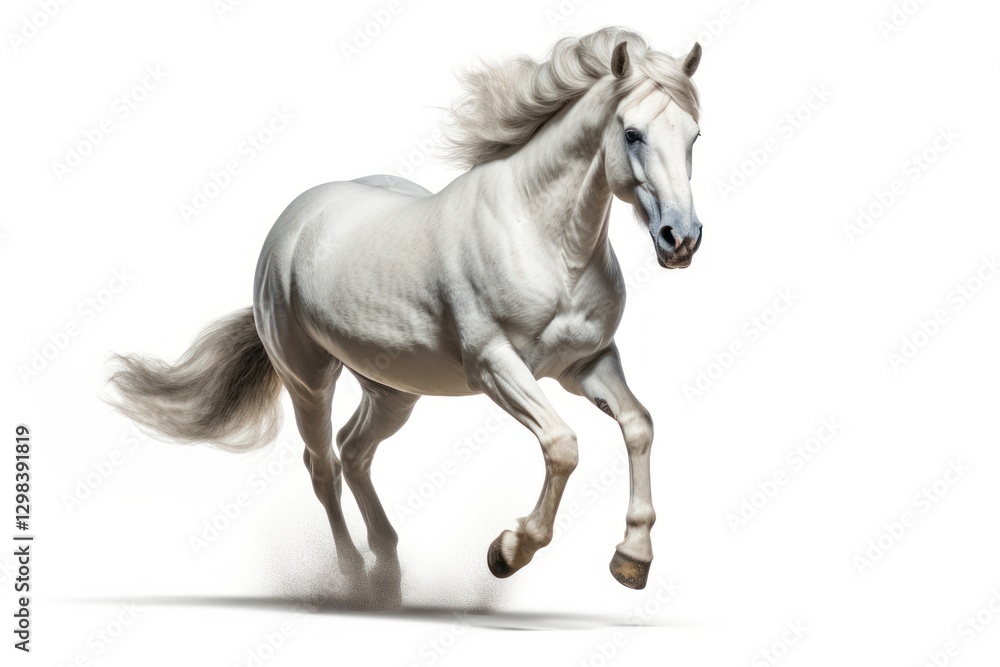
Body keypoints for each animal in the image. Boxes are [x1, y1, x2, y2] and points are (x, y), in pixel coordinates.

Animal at [107, 27, 704, 604]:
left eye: (694, 136)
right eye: (633, 133)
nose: (681, 239)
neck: (548, 243)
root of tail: (292, 223)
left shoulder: (587, 363)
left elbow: (638, 426)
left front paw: (632, 559)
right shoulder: (495, 366)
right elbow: (562, 446)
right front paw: (508, 551)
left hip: (394, 391)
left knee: (354, 452)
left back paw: (388, 572)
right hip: (308, 379)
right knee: (323, 465)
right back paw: (353, 578)